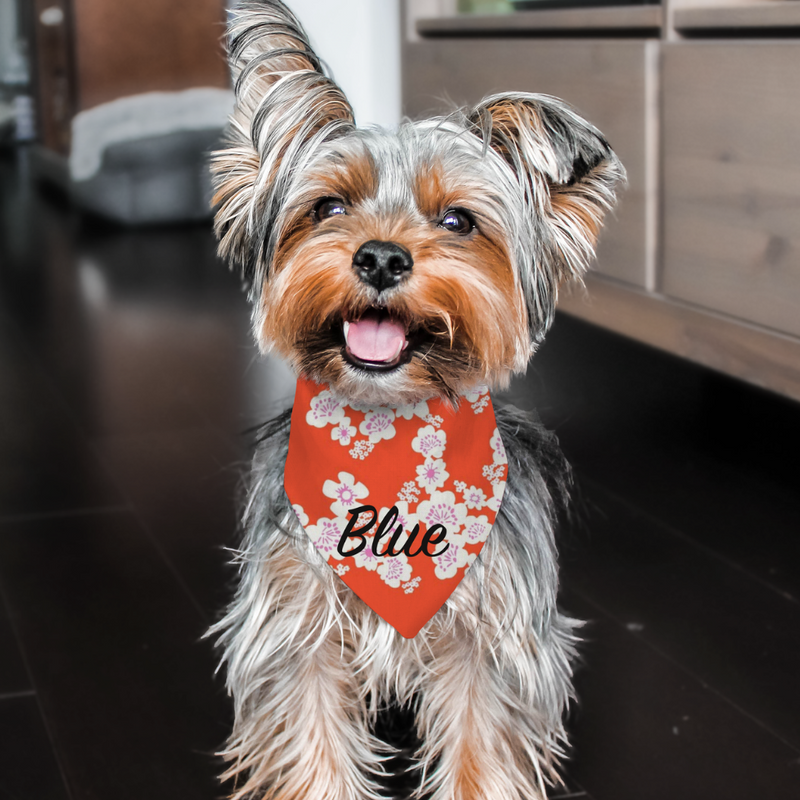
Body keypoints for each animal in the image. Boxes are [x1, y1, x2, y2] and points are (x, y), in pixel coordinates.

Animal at [209, 3, 620, 796]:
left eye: (457, 220)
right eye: (328, 207)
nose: (379, 256)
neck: (392, 440)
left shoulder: (490, 639)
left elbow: (480, 749)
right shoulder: (296, 628)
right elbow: (313, 743)